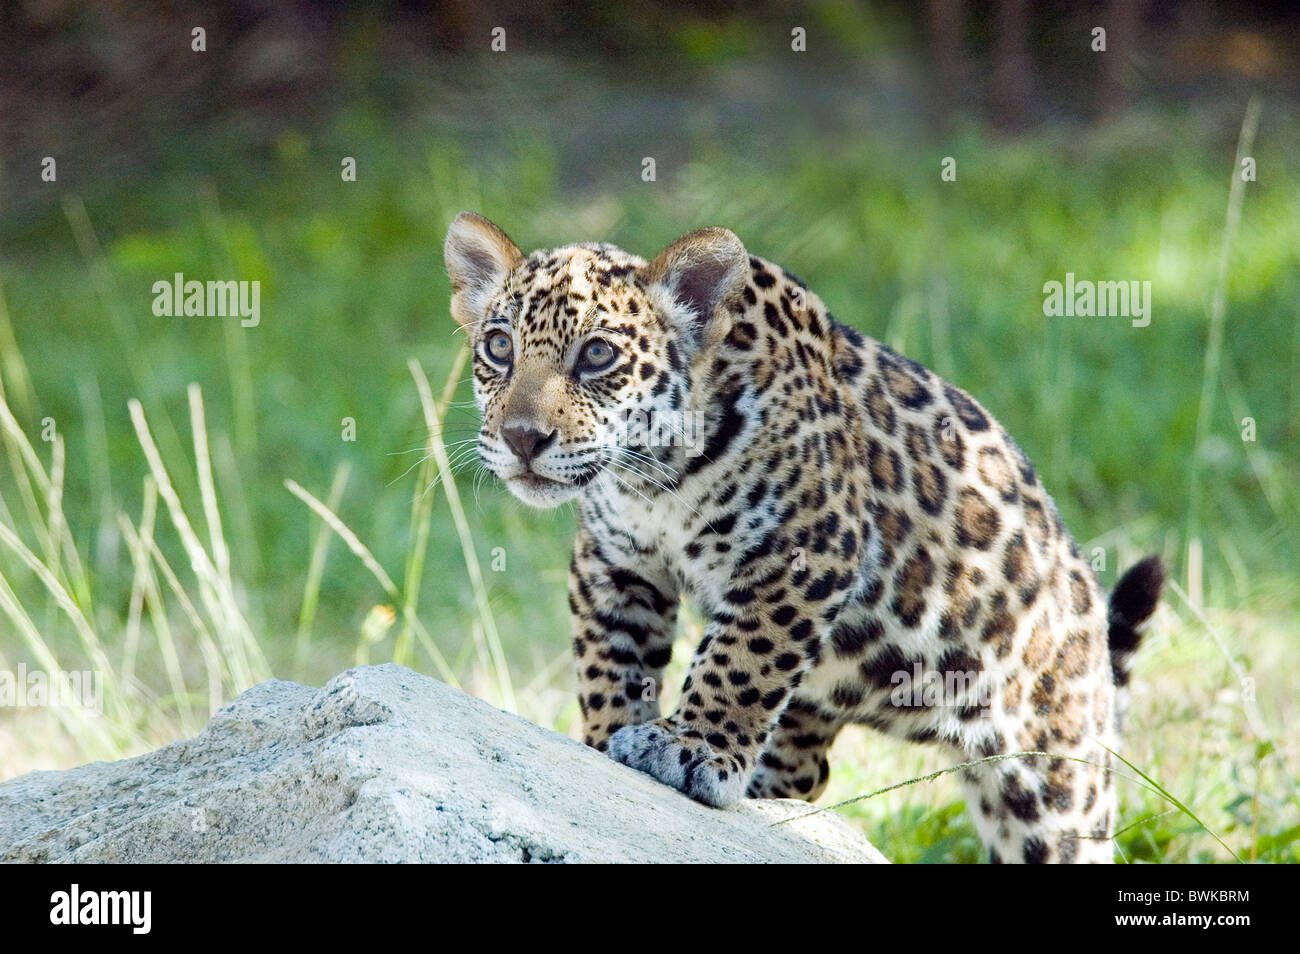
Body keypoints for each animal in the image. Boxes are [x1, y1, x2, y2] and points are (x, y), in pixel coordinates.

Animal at [443, 211, 1165, 864]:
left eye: (597, 355)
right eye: (499, 348)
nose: (522, 439)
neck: (653, 478)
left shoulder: (806, 552)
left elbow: (741, 658)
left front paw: (689, 749)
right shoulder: (616, 562)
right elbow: (611, 662)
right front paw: (609, 740)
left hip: (1050, 774)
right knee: (807, 773)